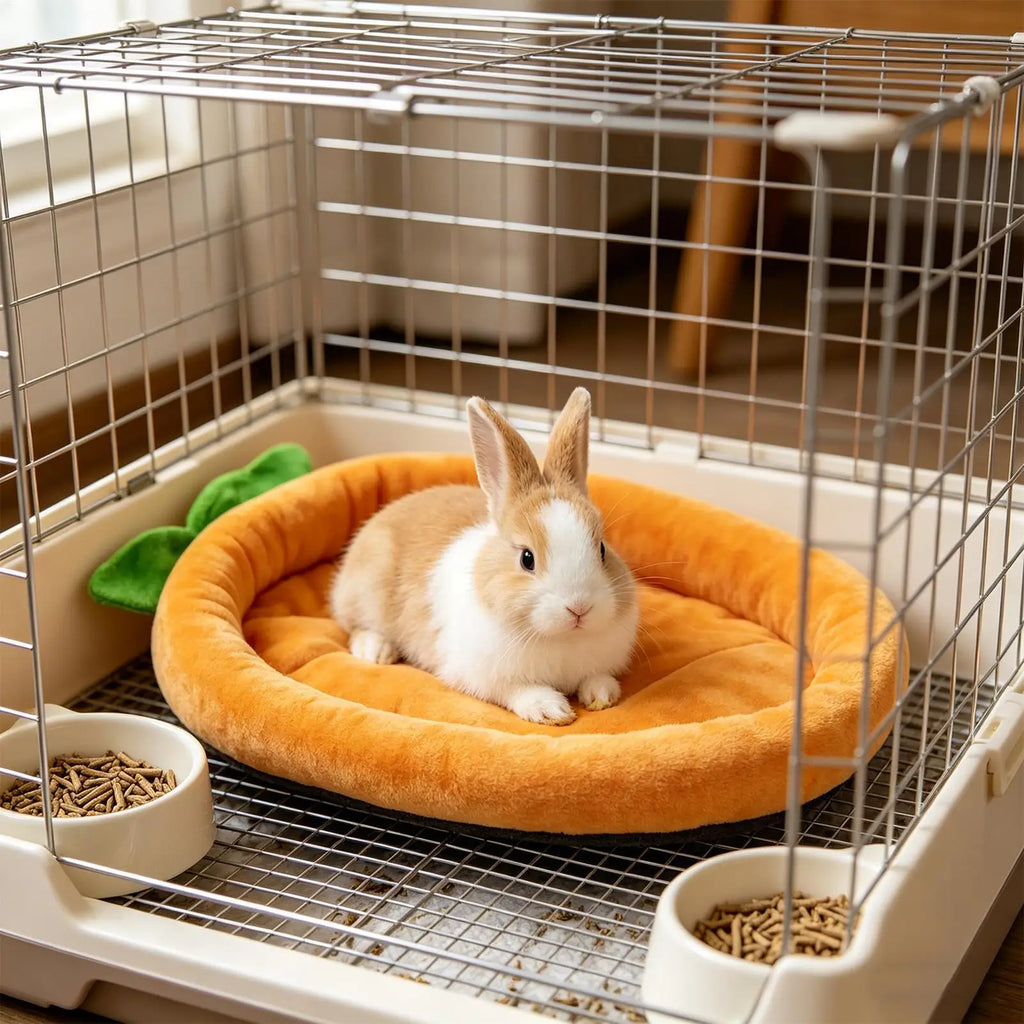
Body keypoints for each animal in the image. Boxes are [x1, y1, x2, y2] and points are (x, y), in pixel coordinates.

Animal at [329, 387, 639, 725]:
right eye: (527, 558)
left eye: (602, 549)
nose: (579, 607)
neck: (562, 637)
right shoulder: (483, 676)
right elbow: (517, 690)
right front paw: (550, 709)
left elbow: (597, 677)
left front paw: (602, 695)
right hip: (366, 591)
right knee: (355, 624)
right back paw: (376, 651)